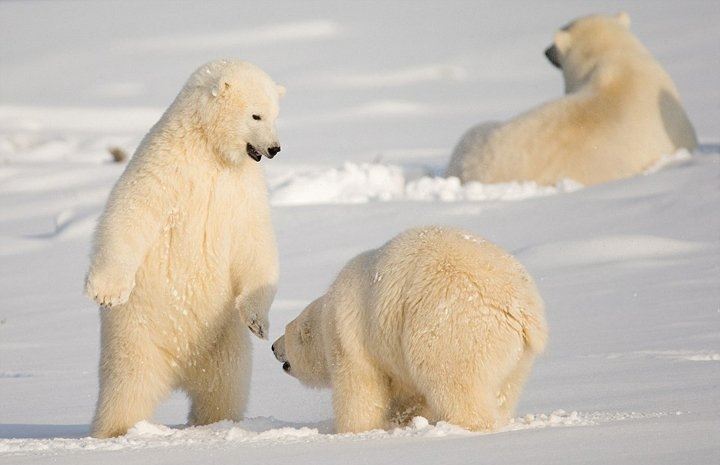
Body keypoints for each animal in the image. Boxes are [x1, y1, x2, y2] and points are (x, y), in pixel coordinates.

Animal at [85, 59, 284, 438]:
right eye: (256, 115)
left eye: (275, 113)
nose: (275, 148)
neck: (209, 149)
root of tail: (180, 368)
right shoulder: (165, 166)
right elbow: (131, 212)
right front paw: (106, 291)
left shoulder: (242, 188)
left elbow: (254, 241)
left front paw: (258, 322)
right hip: (136, 336)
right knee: (126, 388)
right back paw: (117, 430)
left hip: (222, 341)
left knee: (225, 387)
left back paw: (217, 422)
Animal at [272, 225, 548, 432]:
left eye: (286, 334)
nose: (273, 347)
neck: (327, 315)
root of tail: (521, 307)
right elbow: (409, 397)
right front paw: (402, 421)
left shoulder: (351, 339)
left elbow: (360, 389)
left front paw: (354, 429)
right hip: (518, 356)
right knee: (505, 389)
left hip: (454, 329)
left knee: (454, 381)